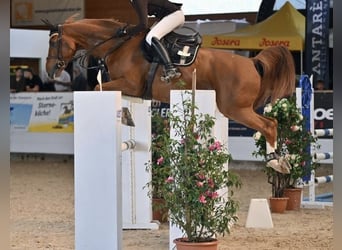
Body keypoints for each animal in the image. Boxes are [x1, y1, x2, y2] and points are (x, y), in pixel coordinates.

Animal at [44, 15, 296, 172]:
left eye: (54, 43)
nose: (49, 70)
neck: (118, 45)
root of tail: (252, 62)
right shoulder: (133, 89)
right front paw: (128, 116)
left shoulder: (130, 83)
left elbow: (98, 87)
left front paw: (124, 116)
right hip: (235, 108)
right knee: (271, 122)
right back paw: (281, 160)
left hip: (235, 108)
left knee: (269, 125)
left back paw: (276, 162)